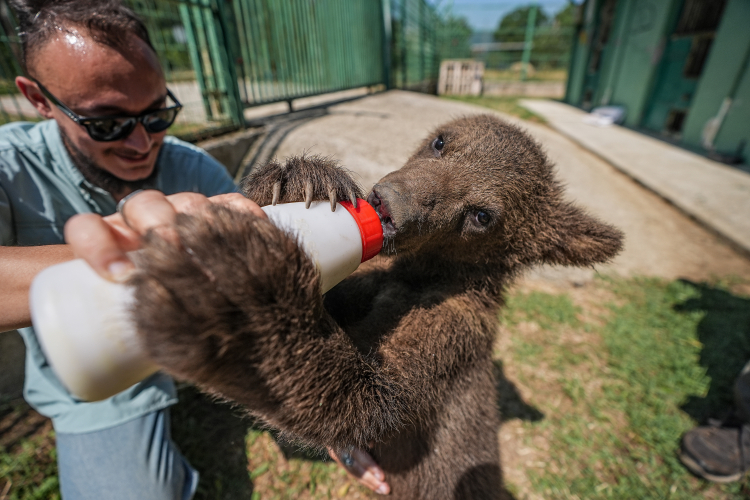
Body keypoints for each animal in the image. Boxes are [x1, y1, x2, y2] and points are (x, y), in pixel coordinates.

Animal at [129, 114, 623, 499]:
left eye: (481, 215)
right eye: (441, 141)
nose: (391, 203)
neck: (417, 272)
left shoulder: (451, 330)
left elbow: (373, 402)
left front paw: (241, 289)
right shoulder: (369, 279)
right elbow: (330, 295)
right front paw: (299, 179)